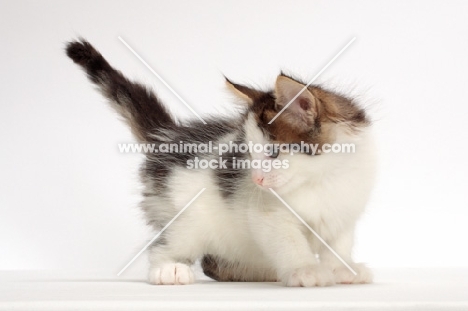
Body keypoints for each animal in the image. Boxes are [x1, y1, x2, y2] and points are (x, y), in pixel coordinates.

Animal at [66, 39, 374, 288]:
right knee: (167, 247)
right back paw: (169, 269)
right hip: (185, 218)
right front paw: (305, 270)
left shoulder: (345, 211)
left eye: (273, 153)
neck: (322, 178)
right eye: (250, 154)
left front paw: (343, 269)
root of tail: (167, 137)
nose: (257, 180)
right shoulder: (267, 214)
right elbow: (289, 242)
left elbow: (339, 244)